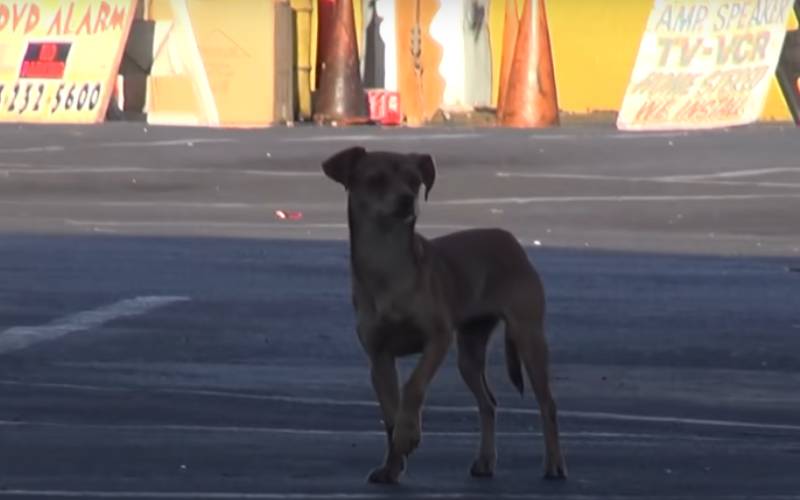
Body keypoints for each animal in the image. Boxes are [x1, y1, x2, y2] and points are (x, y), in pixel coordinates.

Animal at [322, 146, 564, 484]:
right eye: (376, 180)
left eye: (414, 181)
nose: (406, 199)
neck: (387, 265)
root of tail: (509, 240)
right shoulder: (379, 358)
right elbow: (390, 412)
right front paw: (392, 465)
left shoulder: (437, 340)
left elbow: (413, 386)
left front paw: (408, 434)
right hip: (470, 352)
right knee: (488, 404)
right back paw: (485, 461)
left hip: (528, 338)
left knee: (547, 404)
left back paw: (554, 464)